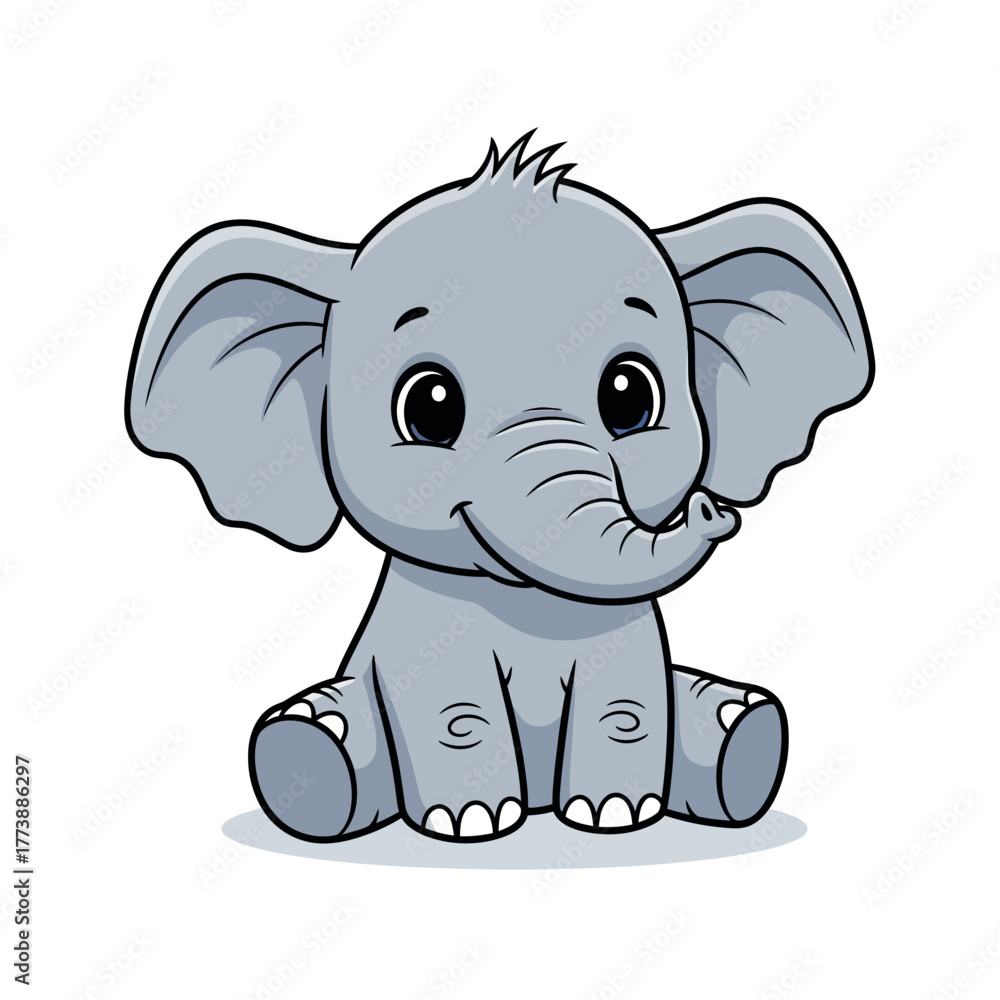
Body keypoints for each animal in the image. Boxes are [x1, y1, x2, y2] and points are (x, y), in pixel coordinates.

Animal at [125, 132, 872, 843]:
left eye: (630, 394)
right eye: (428, 406)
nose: (715, 510)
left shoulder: (628, 630)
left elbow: (627, 705)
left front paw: (615, 815)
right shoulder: (422, 632)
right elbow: (454, 711)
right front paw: (472, 823)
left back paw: (744, 733)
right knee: (322, 735)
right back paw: (309, 746)